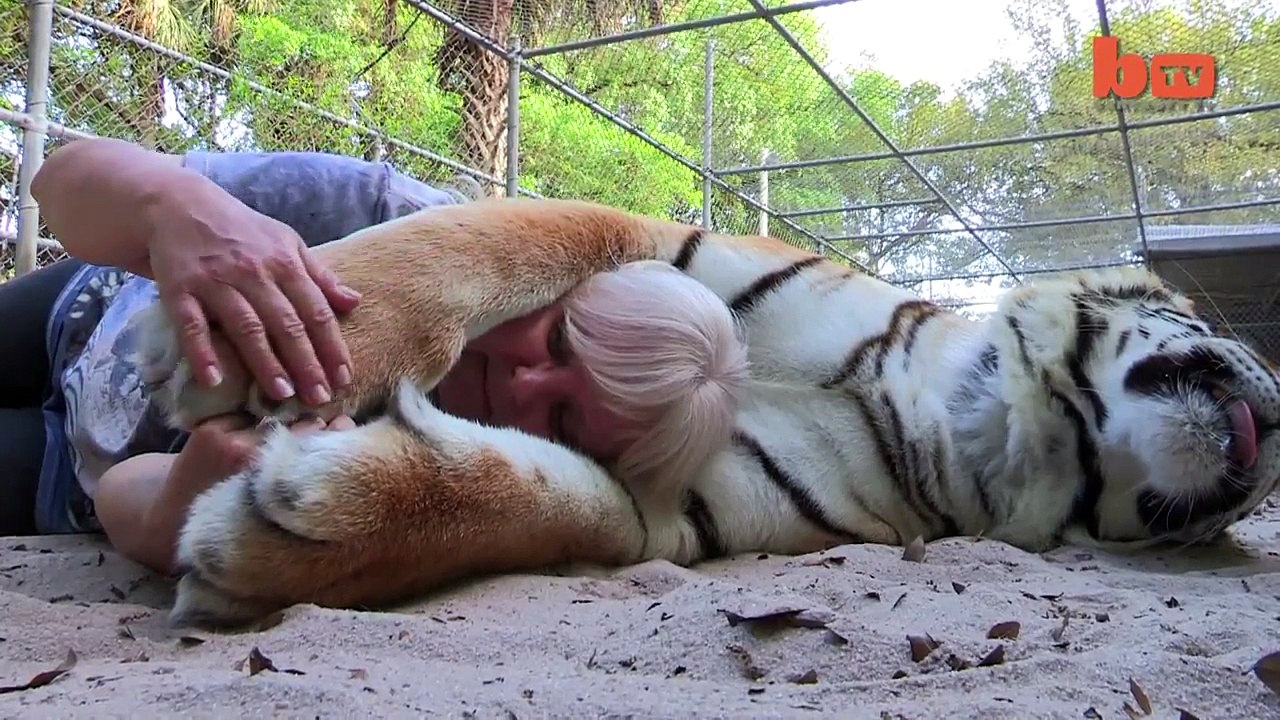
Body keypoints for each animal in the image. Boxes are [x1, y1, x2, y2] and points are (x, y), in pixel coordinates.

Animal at [129, 197, 1280, 629]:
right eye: (1190, 308)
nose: (1277, 429)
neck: (977, 419)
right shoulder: (657, 241)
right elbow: (485, 243)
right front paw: (257, 335)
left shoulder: (684, 508)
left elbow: (567, 505)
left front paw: (284, 538)